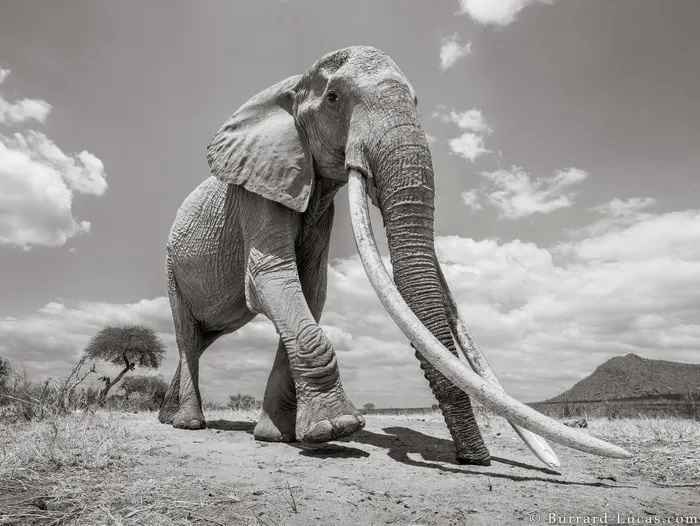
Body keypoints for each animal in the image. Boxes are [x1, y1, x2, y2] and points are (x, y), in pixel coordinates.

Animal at [159, 46, 631, 468]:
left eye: (416, 102)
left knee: (202, 338)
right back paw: (188, 424)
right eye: (334, 98)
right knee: (187, 334)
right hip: (171, 268)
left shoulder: (319, 207)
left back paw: (169, 417)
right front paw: (337, 429)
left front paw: (279, 437)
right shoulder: (257, 192)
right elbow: (271, 279)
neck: (289, 87)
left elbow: (311, 291)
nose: (473, 459)